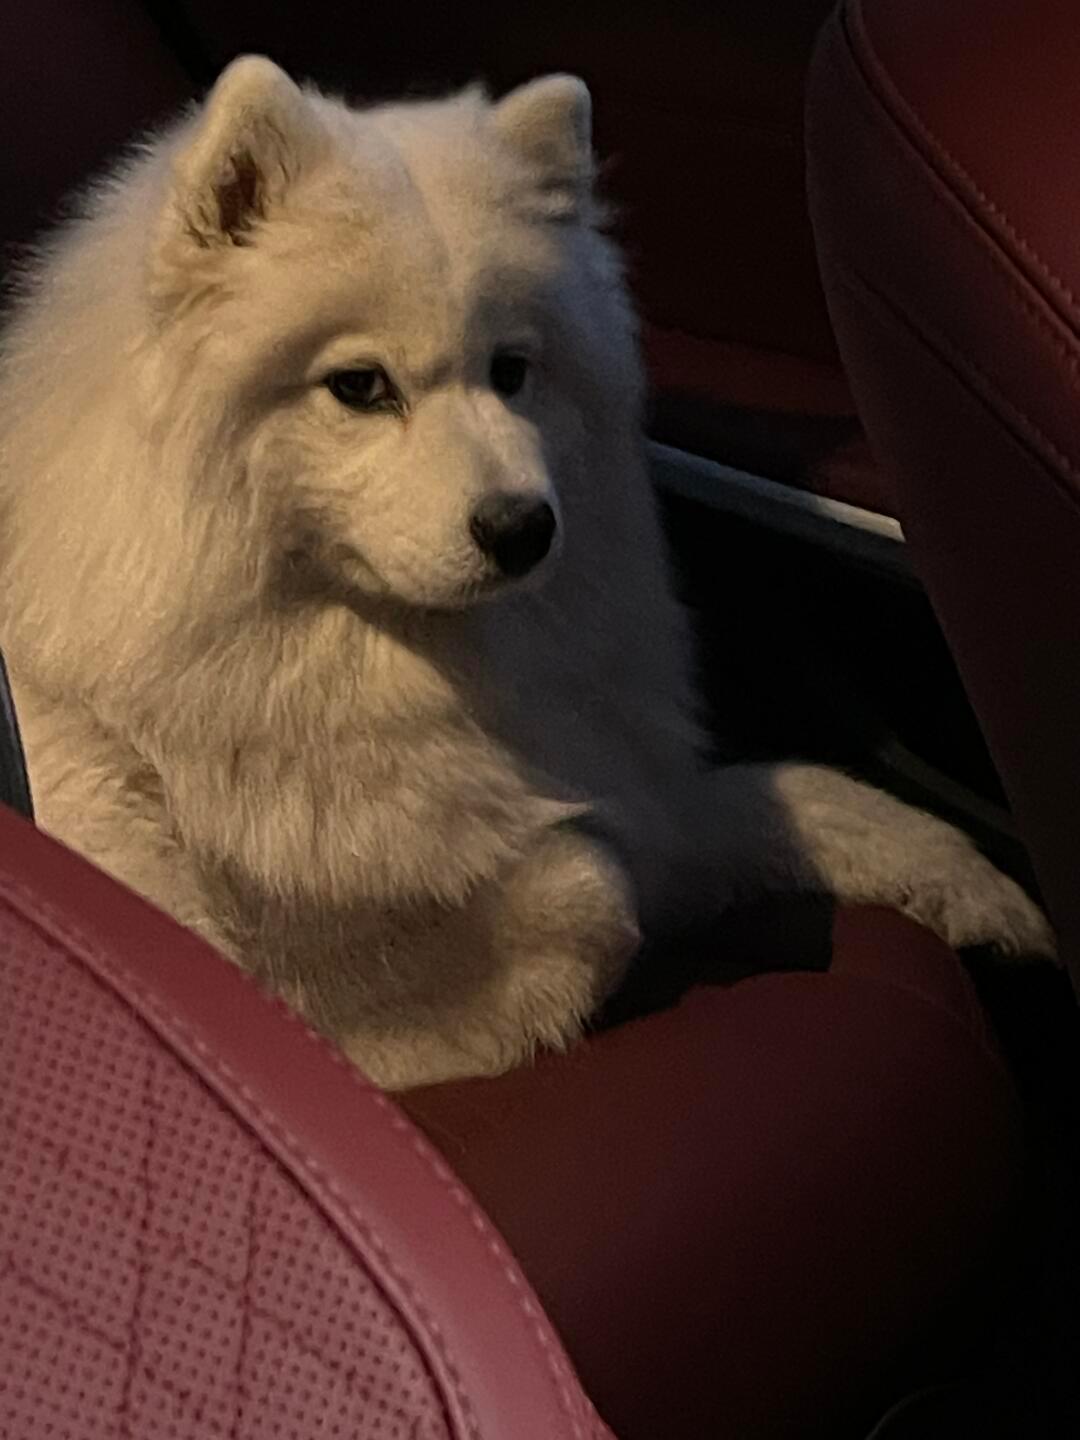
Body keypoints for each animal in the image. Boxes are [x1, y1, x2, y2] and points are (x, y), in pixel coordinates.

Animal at [0, 57, 1054, 1088]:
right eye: (359, 387)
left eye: (511, 371)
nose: (523, 529)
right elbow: (594, 888)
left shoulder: (624, 780)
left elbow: (777, 795)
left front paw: (981, 895)